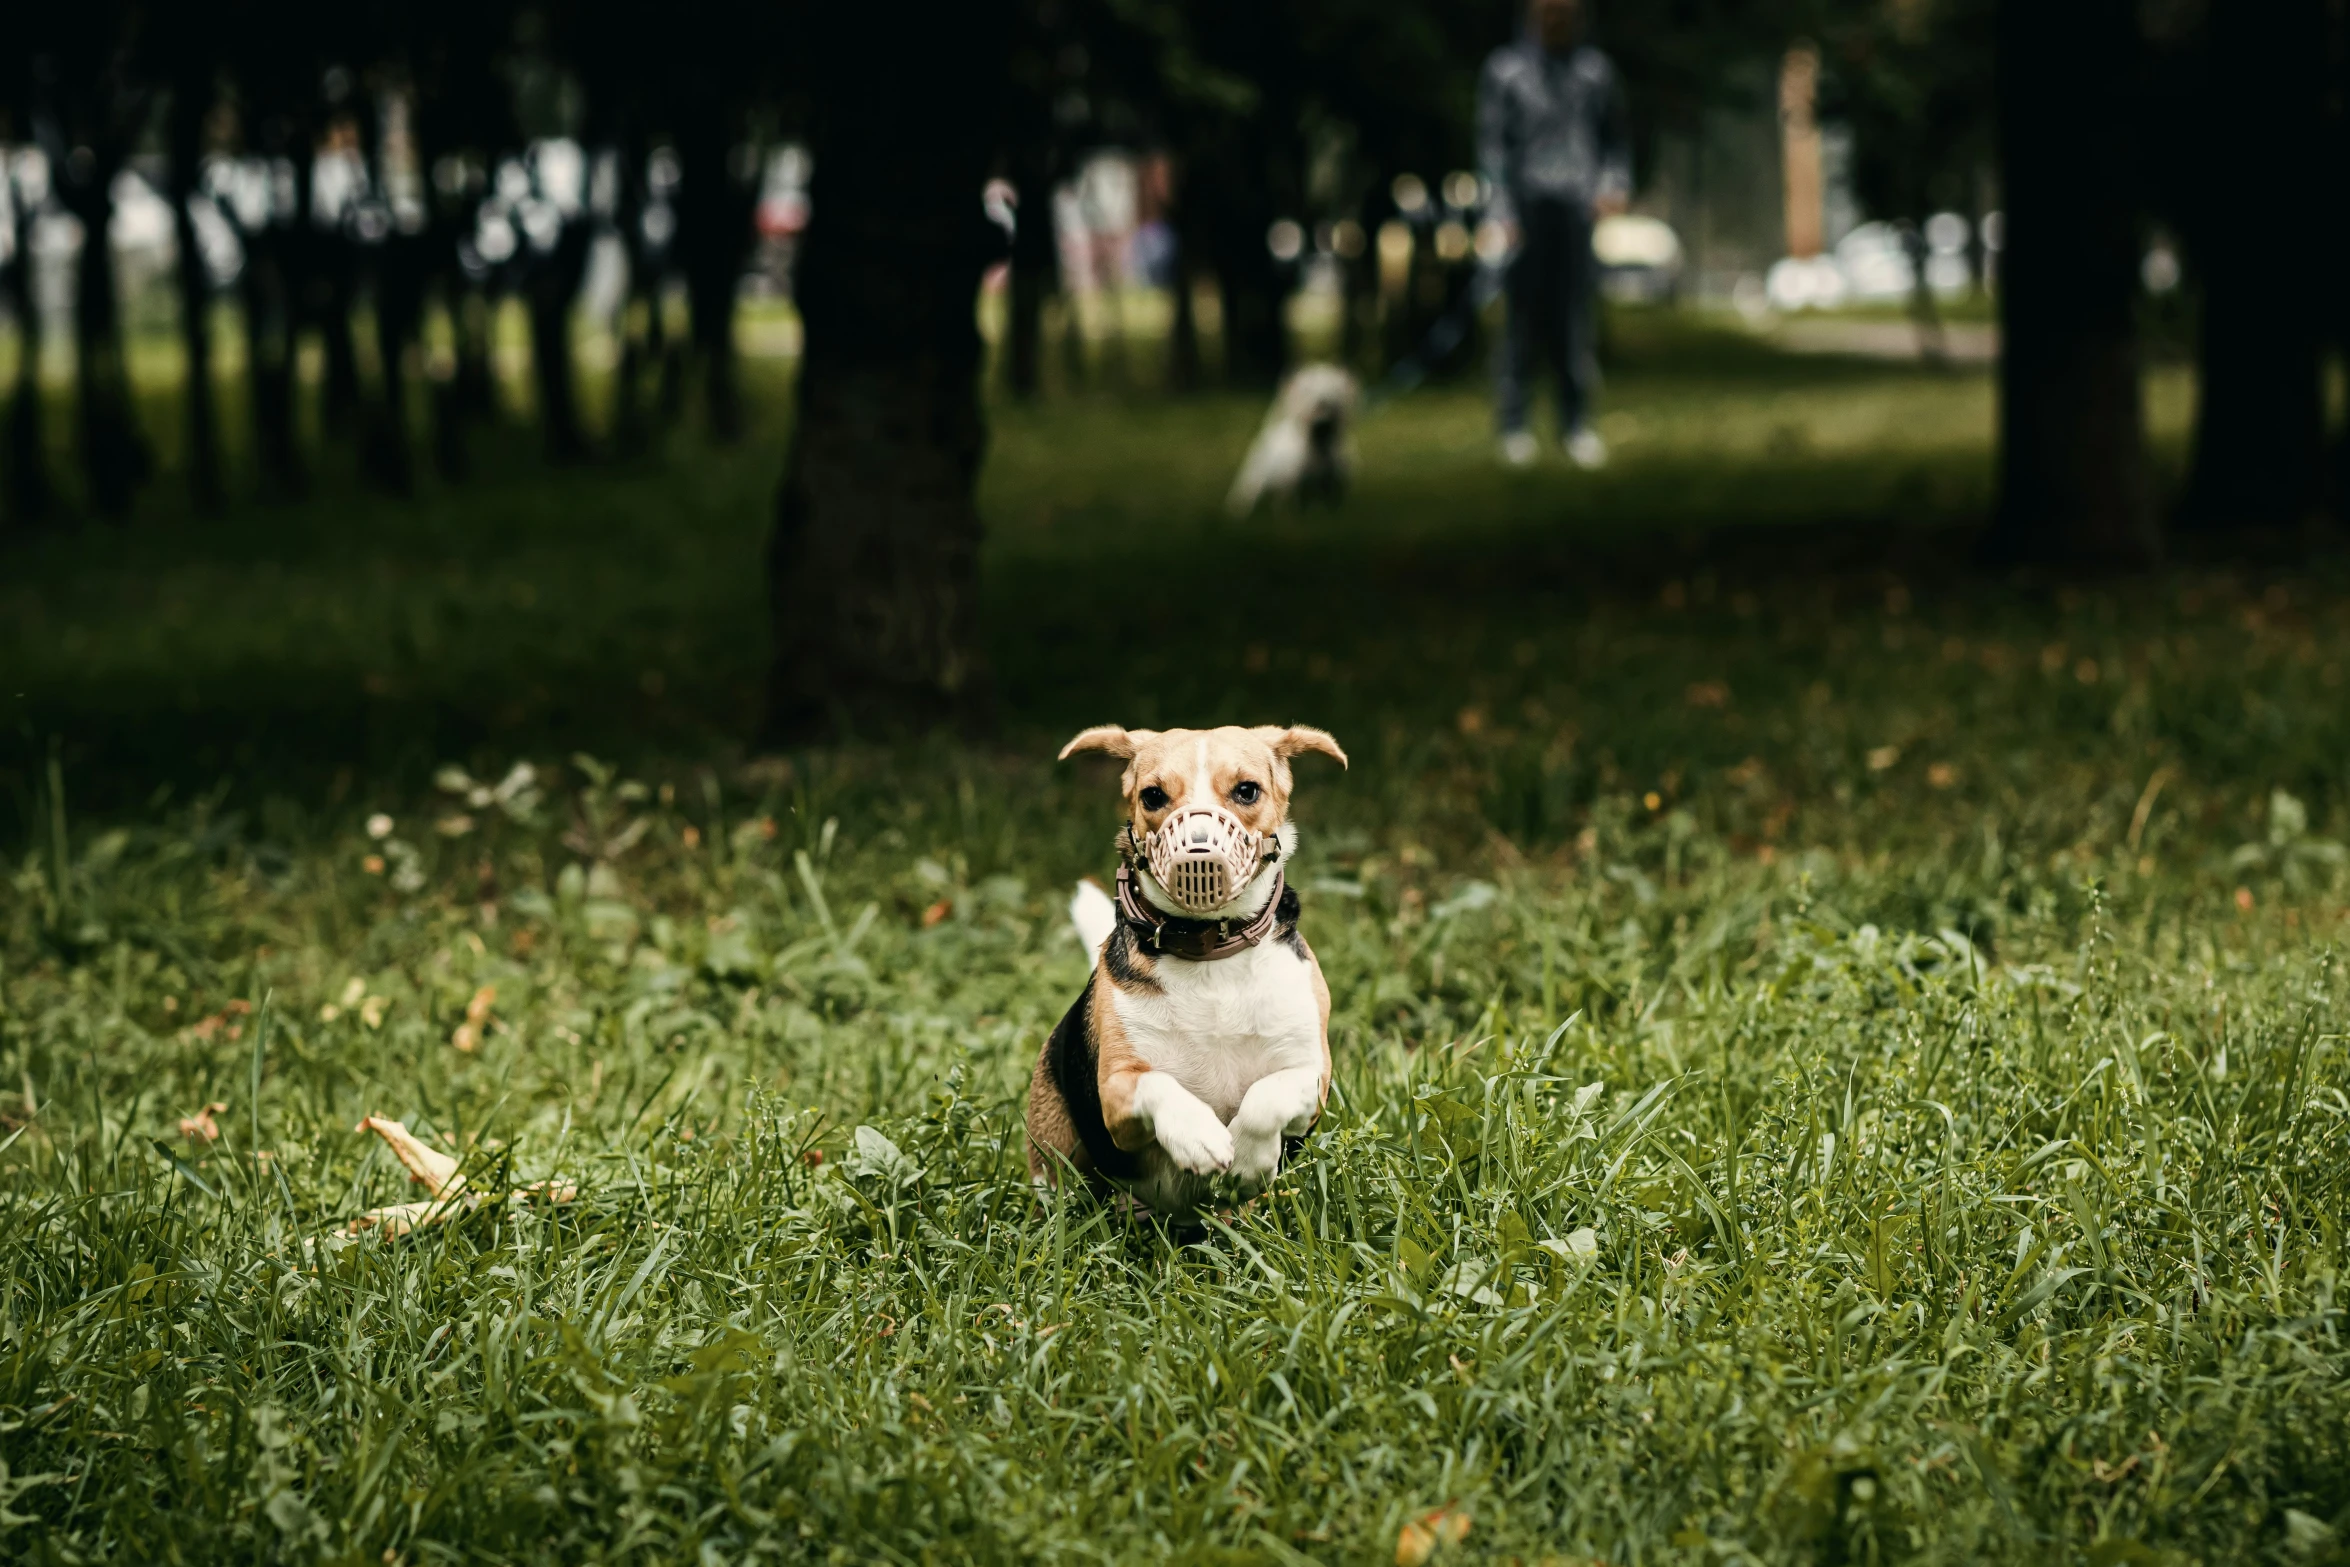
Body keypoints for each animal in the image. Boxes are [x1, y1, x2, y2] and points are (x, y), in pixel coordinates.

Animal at [1024, 728, 1353, 1221]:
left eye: (1247, 790)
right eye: (1153, 796)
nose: (1199, 852)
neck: (1210, 953)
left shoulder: (1312, 1077)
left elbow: (1267, 1096)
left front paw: (1248, 1159)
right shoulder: (1115, 1094)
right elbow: (1158, 1084)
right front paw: (1200, 1137)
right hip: (1056, 1150)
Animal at [1231, 364, 1363, 516]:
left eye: (1334, 388)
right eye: (1307, 390)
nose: (1322, 401)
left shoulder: (1334, 488)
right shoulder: (1294, 489)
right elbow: (1293, 507)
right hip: (1255, 472)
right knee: (1246, 492)